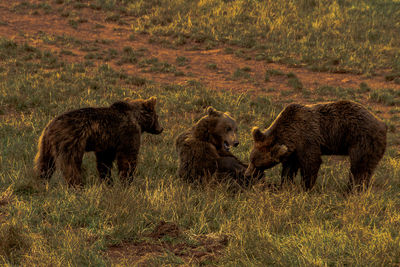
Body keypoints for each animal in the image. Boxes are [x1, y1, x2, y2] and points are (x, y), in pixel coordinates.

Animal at [34, 97, 162, 187]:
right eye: (157, 116)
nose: (161, 129)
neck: (138, 120)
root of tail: (51, 126)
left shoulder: (107, 143)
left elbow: (104, 162)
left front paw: (107, 181)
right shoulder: (128, 134)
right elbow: (128, 159)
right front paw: (127, 181)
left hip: (46, 145)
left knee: (45, 163)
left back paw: (42, 181)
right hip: (72, 141)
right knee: (71, 164)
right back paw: (77, 185)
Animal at [244, 100, 388, 191]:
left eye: (256, 164)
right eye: (251, 160)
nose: (247, 174)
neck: (289, 134)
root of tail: (382, 124)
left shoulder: (307, 139)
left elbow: (311, 163)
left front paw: (305, 187)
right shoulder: (293, 150)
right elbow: (289, 168)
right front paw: (285, 185)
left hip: (362, 139)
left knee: (359, 167)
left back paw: (352, 190)